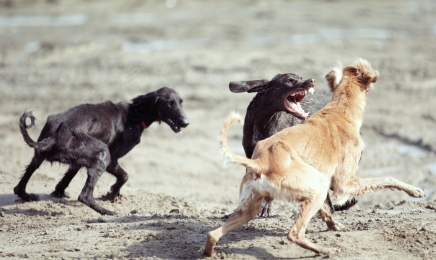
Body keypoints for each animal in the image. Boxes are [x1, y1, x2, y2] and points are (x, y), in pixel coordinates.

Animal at [14, 86, 189, 214]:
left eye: (181, 102)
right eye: (169, 103)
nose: (185, 122)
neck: (134, 115)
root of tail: (55, 134)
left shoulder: (78, 161)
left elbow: (67, 177)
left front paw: (59, 192)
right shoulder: (112, 160)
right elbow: (124, 176)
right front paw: (112, 194)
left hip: (39, 156)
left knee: (20, 185)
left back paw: (27, 196)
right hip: (102, 154)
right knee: (84, 196)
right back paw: (106, 211)